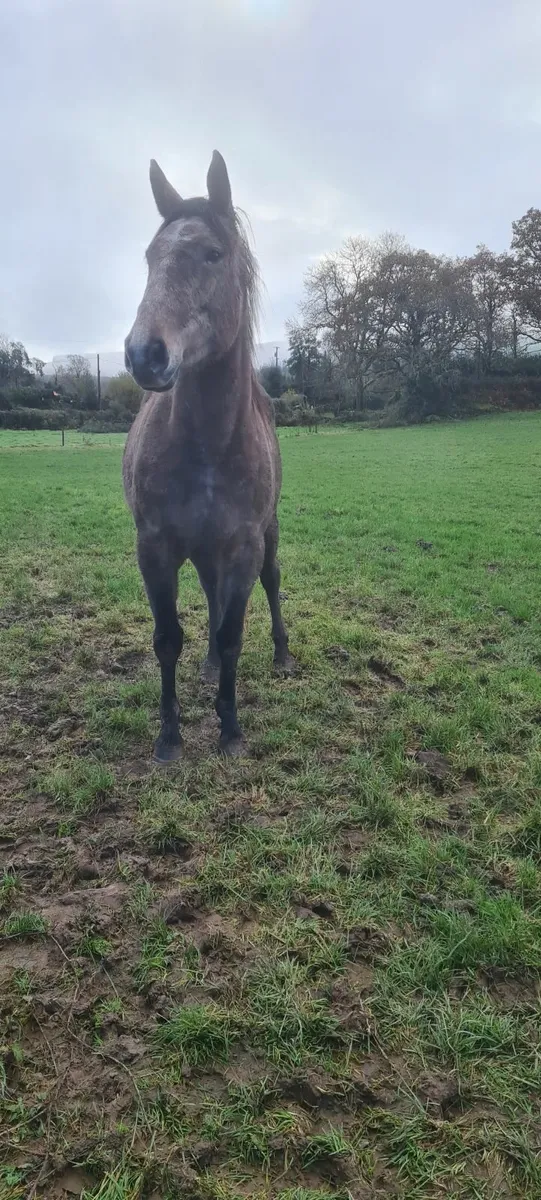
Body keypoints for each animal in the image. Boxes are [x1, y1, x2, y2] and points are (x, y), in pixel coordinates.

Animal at [123, 151, 294, 762]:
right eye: (151, 257)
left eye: (213, 254)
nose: (144, 354)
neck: (208, 449)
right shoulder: (155, 546)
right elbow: (168, 637)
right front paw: (170, 736)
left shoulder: (243, 544)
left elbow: (234, 630)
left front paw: (231, 729)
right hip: (200, 549)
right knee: (210, 595)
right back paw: (209, 667)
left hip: (265, 535)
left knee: (269, 584)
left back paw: (282, 656)